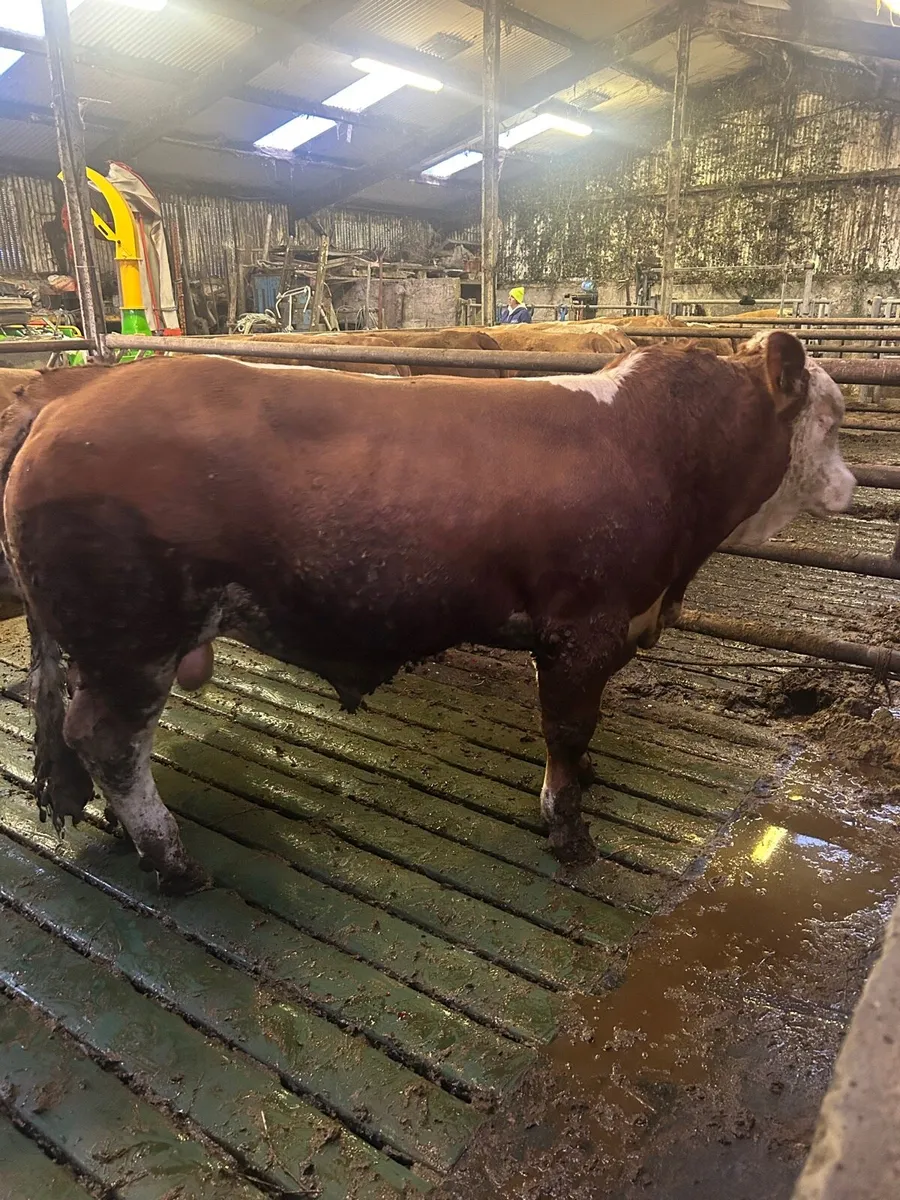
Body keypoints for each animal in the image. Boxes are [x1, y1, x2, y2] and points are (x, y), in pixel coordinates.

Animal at [0, 332, 854, 893]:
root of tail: (75, 392)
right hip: (133, 639)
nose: (851, 486)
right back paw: (173, 863)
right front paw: (569, 830)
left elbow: (577, 733)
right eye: (836, 416)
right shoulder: (582, 630)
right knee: (109, 740)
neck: (659, 449)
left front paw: (586, 783)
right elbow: (566, 728)